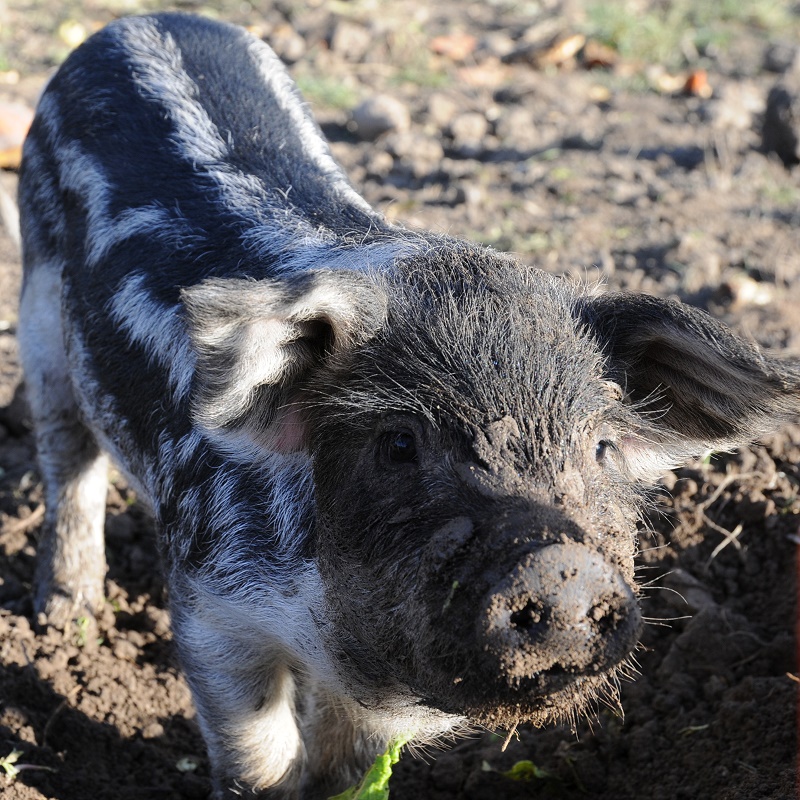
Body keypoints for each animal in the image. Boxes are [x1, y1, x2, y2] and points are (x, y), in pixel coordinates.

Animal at [15, 12, 800, 800]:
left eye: (602, 448)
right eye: (397, 443)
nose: (562, 568)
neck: (338, 645)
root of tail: (141, 21)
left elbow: (351, 765)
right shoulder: (210, 601)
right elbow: (257, 754)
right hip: (37, 315)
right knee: (67, 459)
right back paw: (65, 612)